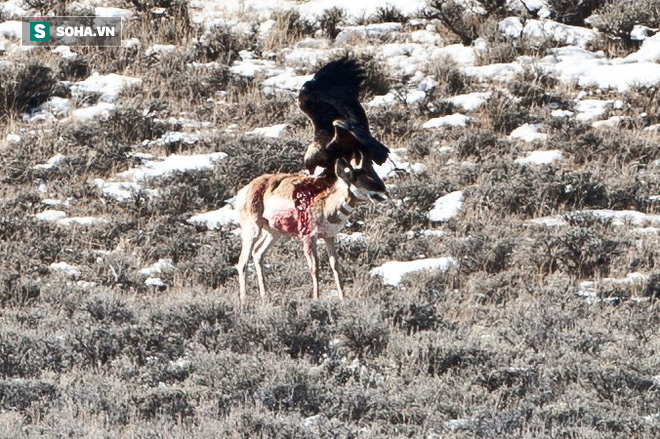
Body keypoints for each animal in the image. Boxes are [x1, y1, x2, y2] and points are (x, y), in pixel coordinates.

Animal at [236, 153, 386, 304]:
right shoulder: (308, 238)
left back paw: (265, 295)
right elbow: (314, 267)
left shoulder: (329, 237)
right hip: (253, 229)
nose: (383, 189)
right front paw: (316, 298)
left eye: (371, 173)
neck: (325, 204)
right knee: (243, 261)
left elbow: (335, 265)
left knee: (258, 253)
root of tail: (249, 187)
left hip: (274, 233)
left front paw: (343, 298)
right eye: (356, 178)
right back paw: (244, 299)